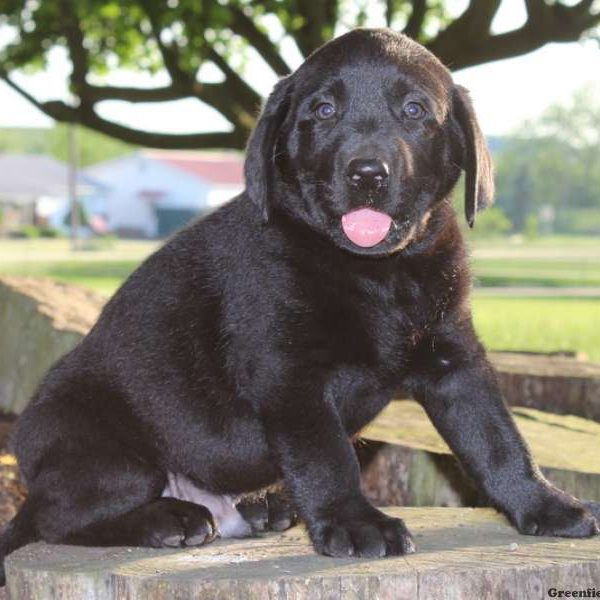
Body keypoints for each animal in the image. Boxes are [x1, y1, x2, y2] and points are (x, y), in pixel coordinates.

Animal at [1, 28, 600, 580]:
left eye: (414, 110)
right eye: (323, 110)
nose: (366, 173)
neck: (378, 273)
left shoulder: (455, 361)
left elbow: (498, 441)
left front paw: (548, 506)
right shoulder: (289, 374)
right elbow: (326, 457)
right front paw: (355, 523)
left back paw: (258, 508)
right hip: (110, 458)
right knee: (56, 517)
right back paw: (168, 519)